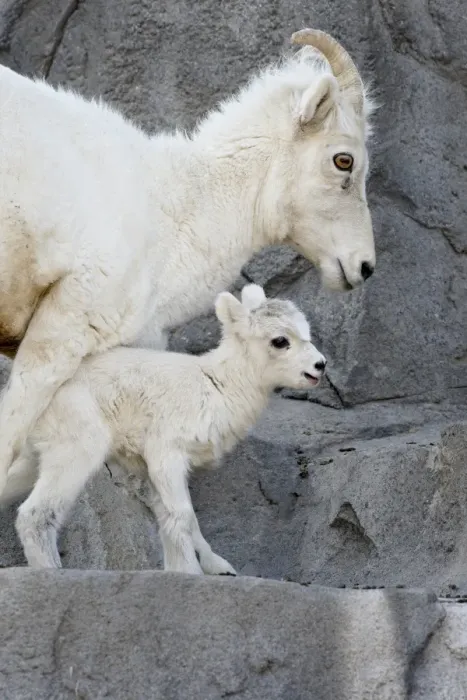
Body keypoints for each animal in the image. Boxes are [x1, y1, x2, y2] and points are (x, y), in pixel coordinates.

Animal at [3, 284, 326, 574]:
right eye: (280, 340)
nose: (320, 366)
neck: (215, 385)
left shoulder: (150, 469)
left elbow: (175, 519)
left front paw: (213, 568)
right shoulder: (166, 454)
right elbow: (181, 517)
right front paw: (192, 572)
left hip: (32, 457)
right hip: (76, 449)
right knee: (35, 514)